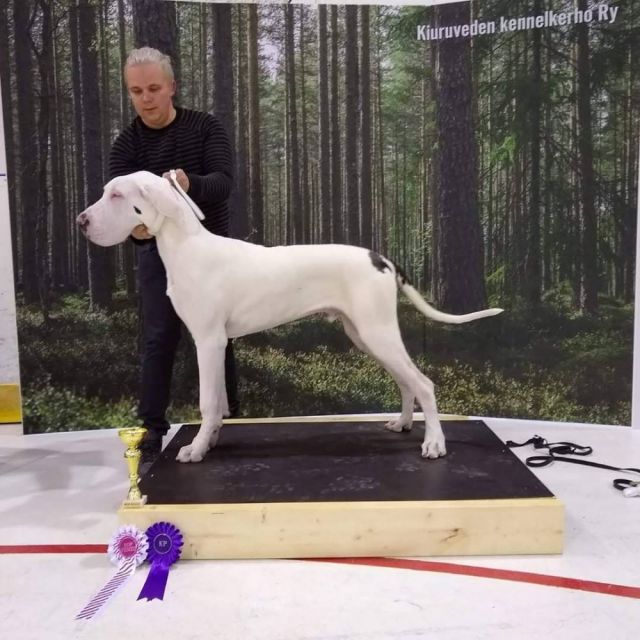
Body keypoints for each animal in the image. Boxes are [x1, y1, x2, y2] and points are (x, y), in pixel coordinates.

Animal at [77, 170, 502, 463]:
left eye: (116, 194)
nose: (81, 221)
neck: (187, 247)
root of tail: (380, 258)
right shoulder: (216, 344)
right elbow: (219, 402)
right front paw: (210, 440)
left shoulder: (208, 341)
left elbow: (207, 401)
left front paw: (195, 450)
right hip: (365, 335)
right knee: (406, 382)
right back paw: (402, 424)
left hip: (376, 332)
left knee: (424, 383)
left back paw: (434, 442)